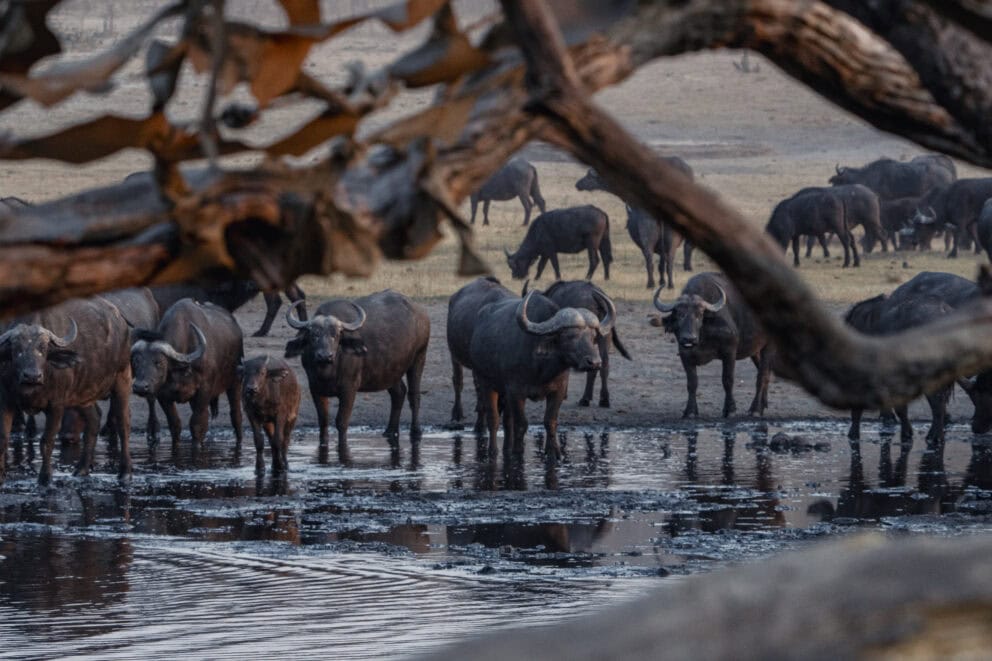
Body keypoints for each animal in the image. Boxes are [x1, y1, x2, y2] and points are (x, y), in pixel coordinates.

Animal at [0, 297, 133, 484]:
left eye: (43, 349)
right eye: (16, 349)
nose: (32, 376)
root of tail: (120, 319)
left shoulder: (56, 405)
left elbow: (47, 441)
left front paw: (45, 478)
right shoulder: (6, 400)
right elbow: (3, 439)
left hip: (122, 378)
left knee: (123, 423)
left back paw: (125, 472)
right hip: (83, 394)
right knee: (94, 420)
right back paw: (81, 469)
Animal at [131, 299, 244, 447]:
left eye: (159, 363)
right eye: (135, 362)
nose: (140, 386)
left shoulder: (204, 391)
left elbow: (197, 424)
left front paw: (197, 446)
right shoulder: (163, 396)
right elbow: (175, 425)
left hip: (235, 382)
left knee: (236, 415)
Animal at [284, 290, 430, 448]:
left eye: (336, 335)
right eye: (313, 335)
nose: (325, 356)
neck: (327, 372)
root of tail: (420, 312)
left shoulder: (349, 389)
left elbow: (341, 422)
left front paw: (342, 446)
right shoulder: (315, 388)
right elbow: (323, 420)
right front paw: (323, 444)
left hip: (419, 356)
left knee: (414, 395)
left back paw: (416, 432)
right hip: (389, 371)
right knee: (399, 393)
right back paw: (390, 431)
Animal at [470, 289, 616, 458]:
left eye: (593, 337)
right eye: (570, 336)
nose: (595, 362)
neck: (542, 368)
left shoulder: (558, 390)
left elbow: (550, 421)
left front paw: (554, 452)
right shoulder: (516, 392)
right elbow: (521, 424)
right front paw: (518, 453)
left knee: (507, 420)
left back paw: (507, 449)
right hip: (486, 382)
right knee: (493, 419)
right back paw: (493, 451)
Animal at [654, 273, 772, 418]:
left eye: (699, 315)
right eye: (680, 315)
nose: (689, 338)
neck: (703, 337)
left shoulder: (729, 351)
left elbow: (727, 380)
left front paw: (730, 409)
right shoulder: (684, 354)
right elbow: (692, 383)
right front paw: (690, 411)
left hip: (768, 346)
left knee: (762, 376)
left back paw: (755, 409)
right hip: (755, 350)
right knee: (766, 374)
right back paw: (763, 405)